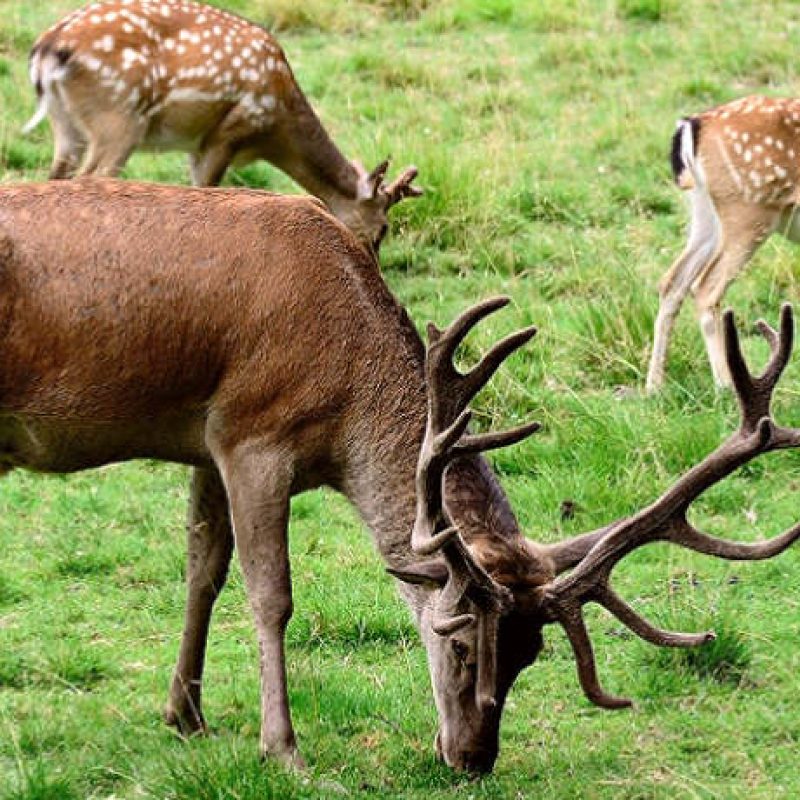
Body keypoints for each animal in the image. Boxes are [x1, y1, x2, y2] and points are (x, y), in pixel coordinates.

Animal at [1, 177, 800, 776]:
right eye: (462, 645)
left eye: (531, 654)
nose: (473, 759)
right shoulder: (253, 435)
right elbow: (270, 596)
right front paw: (282, 747)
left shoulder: (206, 441)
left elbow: (203, 569)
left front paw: (185, 714)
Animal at [24, 0, 418, 250]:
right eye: (383, 228)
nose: (371, 262)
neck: (276, 127)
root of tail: (47, 50)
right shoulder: (227, 133)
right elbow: (206, 191)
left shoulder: (200, 145)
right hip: (119, 118)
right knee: (89, 178)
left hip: (67, 124)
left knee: (56, 175)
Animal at [648, 95, 800, 392]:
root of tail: (692, 124)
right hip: (748, 212)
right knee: (706, 287)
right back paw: (726, 385)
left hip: (705, 212)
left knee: (673, 281)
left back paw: (654, 387)